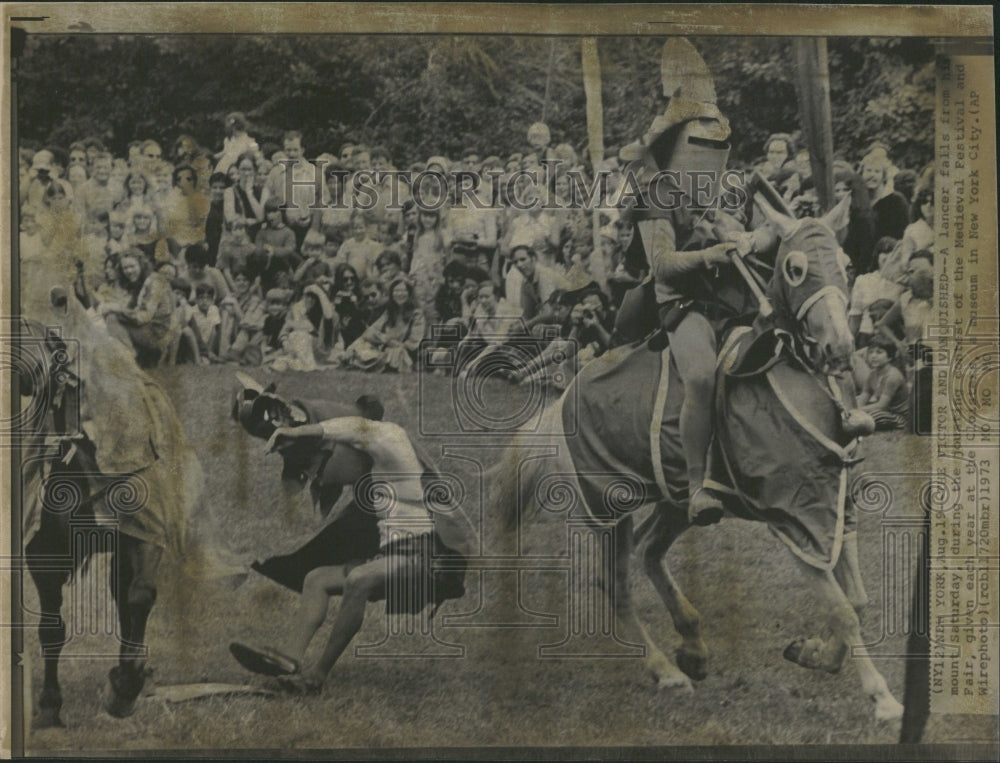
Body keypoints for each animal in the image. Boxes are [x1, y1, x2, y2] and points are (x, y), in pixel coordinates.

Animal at [17, 288, 205, 728]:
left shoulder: (141, 535)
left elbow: (138, 597)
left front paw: (125, 685)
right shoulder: (45, 551)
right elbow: (52, 627)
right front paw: (50, 705)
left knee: (126, 599)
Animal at [494, 195, 908, 724]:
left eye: (848, 263)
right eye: (795, 268)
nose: (840, 346)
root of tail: (563, 396)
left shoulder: (835, 509)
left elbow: (857, 601)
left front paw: (814, 653)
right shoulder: (792, 518)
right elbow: (841, 609)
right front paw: (882, 698)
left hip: (675, 502)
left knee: (650, 551)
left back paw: (692, 644)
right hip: (608, 506)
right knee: (615, 582)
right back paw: (665, 669)